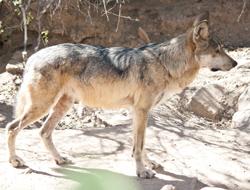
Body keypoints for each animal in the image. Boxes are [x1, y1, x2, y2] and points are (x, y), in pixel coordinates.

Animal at [5, 11, 236, 178]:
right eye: (217, 51)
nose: (235, 63)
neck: (165, 64)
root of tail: (32, 57)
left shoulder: (139, 112)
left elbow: (141, 144)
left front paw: (149, 164)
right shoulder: (141, 110)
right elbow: (139, 145)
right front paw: (142, 172)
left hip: (61, 106)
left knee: (43, 131)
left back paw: (60, 159)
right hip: (42, 107)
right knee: (12, 127)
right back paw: (15, 161)